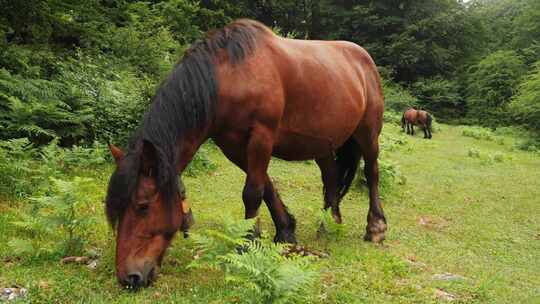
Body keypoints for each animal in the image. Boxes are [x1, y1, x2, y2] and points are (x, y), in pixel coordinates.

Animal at [105, 19, 386, 288]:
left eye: (143, 206)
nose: (129, 277)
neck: (230, 77)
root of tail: (365, 61)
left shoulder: (261, 136)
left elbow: (252, 193)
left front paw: (248, 244)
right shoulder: (234, 146)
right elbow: (267, 188)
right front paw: (285, 232)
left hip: (368, 133)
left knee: (372, 172)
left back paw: (376, 227)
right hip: (323, 146)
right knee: (330, 179)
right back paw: (329, 224)